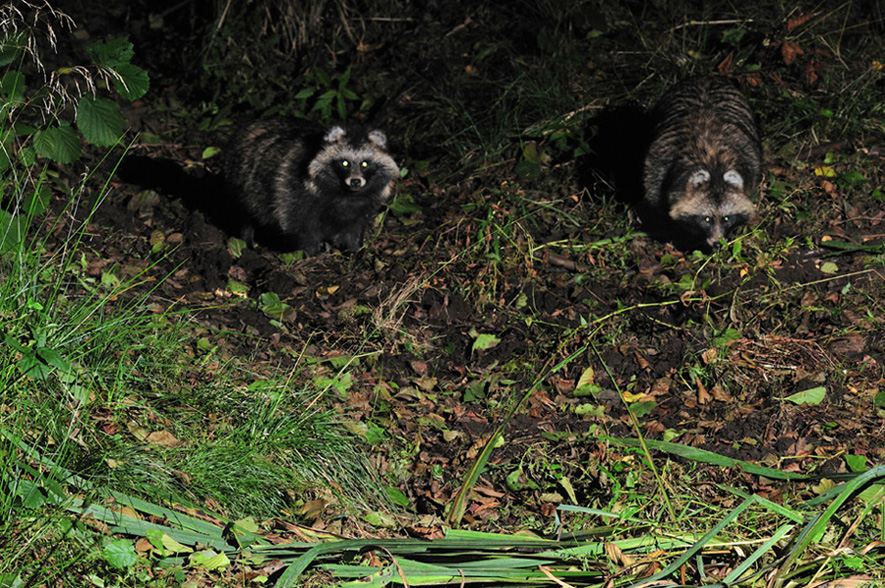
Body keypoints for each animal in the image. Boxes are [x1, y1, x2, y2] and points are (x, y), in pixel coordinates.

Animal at [223, 117, 398, 255]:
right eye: (345, 163)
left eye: (365, 164)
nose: (355, 181)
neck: (346, 194)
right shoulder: (294, 190)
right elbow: (301, 226)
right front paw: (312, 254)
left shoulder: (363, 204)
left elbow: (354, 226)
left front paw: (355, 249)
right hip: (240, 181)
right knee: (244, 215)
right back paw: (247, 240)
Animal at [640, 75, 764, 250]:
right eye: (706, 219)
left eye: (726, 218)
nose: (717, 244)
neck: (713, 163)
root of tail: (704, 77)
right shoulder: (659, 168)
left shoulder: (750, 164)